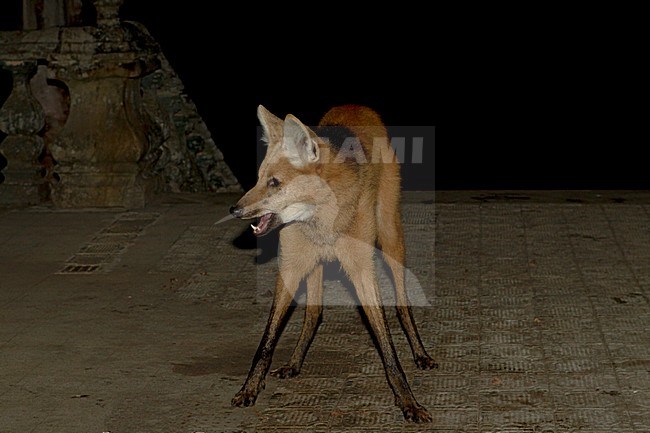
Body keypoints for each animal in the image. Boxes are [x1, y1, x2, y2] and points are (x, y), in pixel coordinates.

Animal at [228, 103, 436, 420]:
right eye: (259, 179)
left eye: (275, 183)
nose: (235, 210)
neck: (320, 223)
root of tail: (355, 106)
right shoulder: (291, 267)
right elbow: (267, 340)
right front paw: (249, 388)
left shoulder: (362, 268)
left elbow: (386, 342)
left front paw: (407, 400)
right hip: (314, 264)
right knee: (314, 312)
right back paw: (295, 362)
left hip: (390, 237)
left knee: (402, 304)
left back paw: (420, 353)